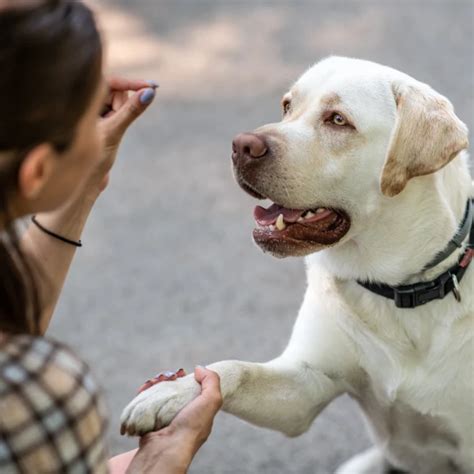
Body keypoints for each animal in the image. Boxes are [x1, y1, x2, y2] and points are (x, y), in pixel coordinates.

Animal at [120, 57, 472, 472]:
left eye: (338, 120)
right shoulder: (305, 387)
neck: (399, 290)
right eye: (287, 106)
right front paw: (172, 393)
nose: (241, 145)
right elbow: (234, 369)